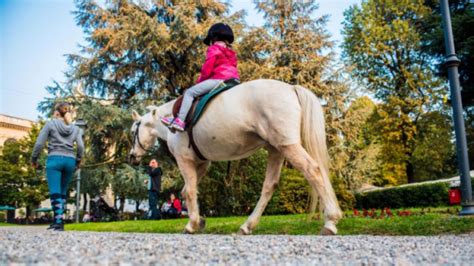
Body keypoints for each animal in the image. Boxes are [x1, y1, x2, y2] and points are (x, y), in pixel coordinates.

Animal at [130, 79, 342, 235]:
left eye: (133, 131)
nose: (132, 157)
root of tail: (291, 88)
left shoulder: (185, 160)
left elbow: (189, 191)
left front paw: (192, 224)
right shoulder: (202, 164)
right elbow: (188, 190)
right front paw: (199, 220)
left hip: (287, 146)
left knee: (313, 170)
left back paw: (330, 222)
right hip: (276, 150)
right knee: (269, 186)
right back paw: (247, 226)